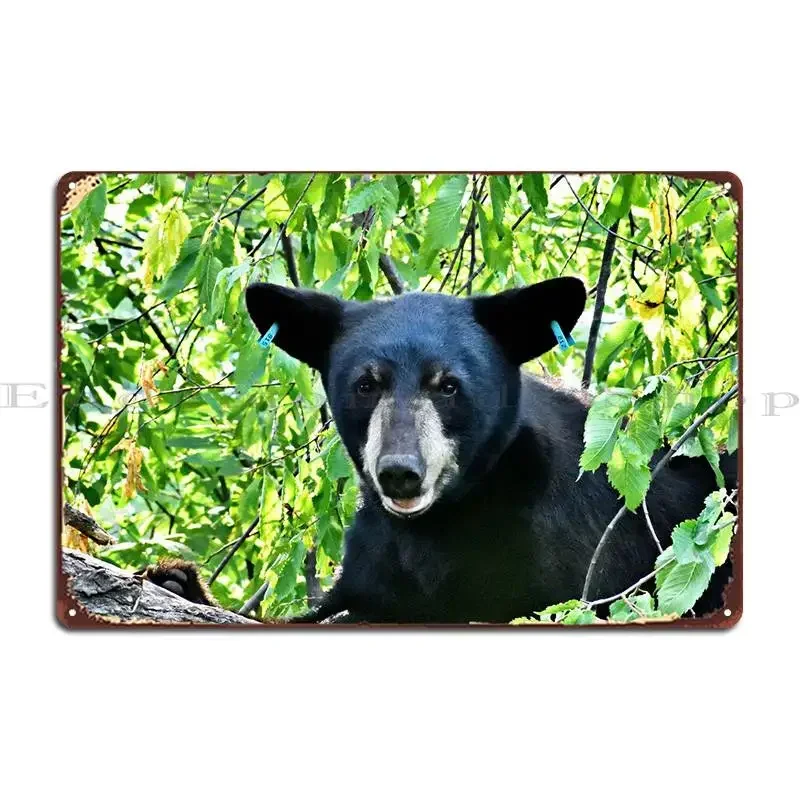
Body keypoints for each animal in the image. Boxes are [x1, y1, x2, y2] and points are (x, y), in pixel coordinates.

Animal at [145, 276, 737, 623]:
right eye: (366, 384)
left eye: (448, 385)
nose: (400, 473)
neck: (442, 522)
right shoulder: (376, 557)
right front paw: (177, 580)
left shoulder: (565, 548)